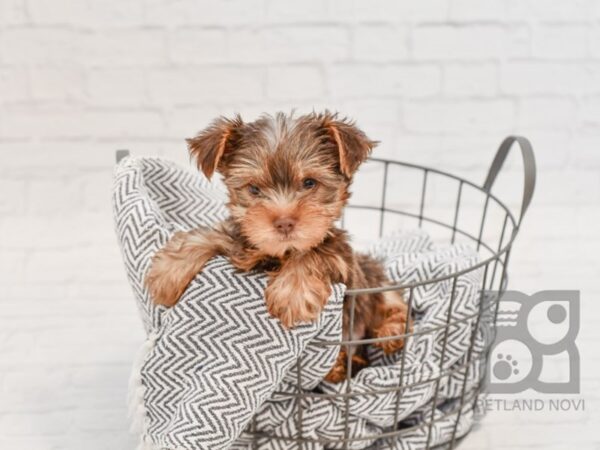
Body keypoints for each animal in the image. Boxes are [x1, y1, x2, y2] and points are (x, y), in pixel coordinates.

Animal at [144, 110, 412, 382]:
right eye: (254, 188)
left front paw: (292, 294)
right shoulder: (244, 239)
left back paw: (388, 334)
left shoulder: (341, 258)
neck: (280, 253)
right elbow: (214, 235)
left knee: (394, 303)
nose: (284, 222)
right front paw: (168, 272)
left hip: (371, 280)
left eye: (309, 183)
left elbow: (313, 253)